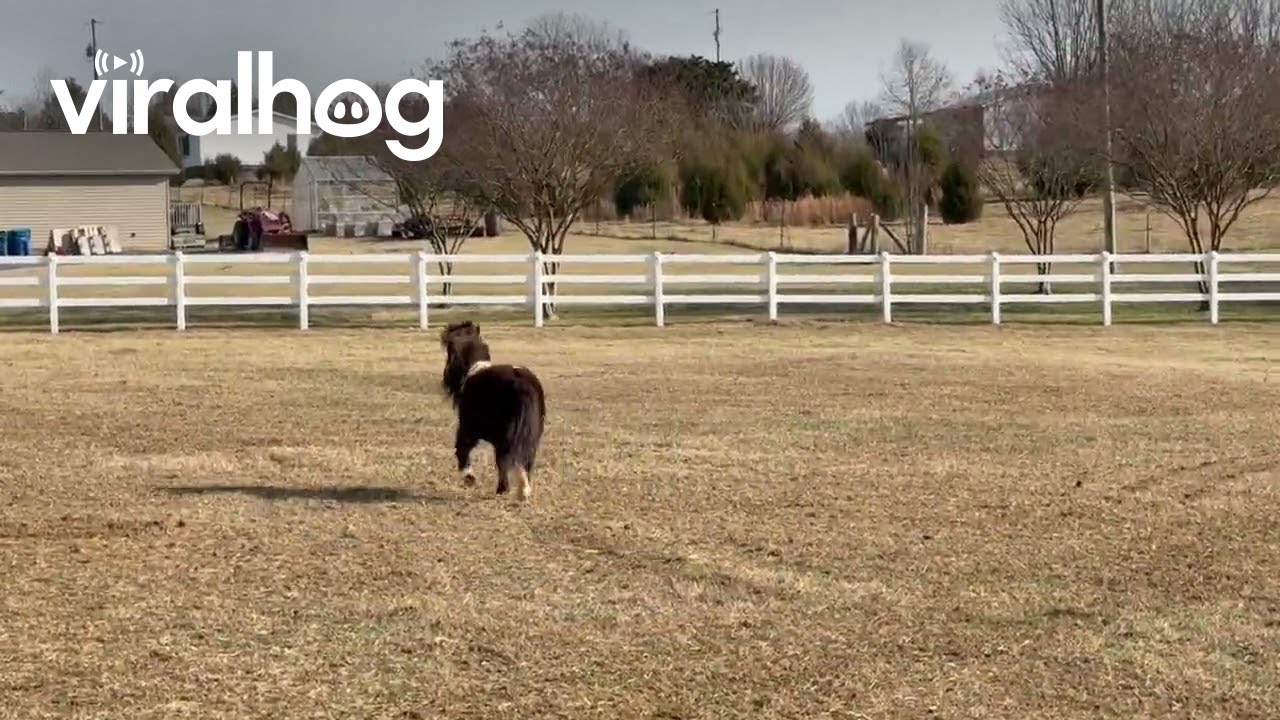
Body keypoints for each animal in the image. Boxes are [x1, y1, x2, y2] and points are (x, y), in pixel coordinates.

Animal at [439, 321, 546, 501]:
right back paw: (523, 490)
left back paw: (509, 489)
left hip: (506, 435)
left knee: (506, 460)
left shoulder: (467, 428)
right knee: (525, 460)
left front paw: (469, 477)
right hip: (530, 436)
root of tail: (524, 386)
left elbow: (462, 449)